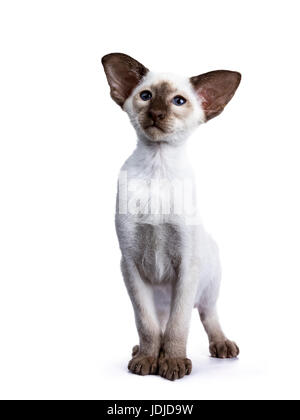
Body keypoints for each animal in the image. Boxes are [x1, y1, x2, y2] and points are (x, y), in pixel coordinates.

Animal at [102, 53, 240, 380]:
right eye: (146, 96)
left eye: (179, 101)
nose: (156, 113)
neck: (158, 163)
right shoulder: (131, 264)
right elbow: (147, 326)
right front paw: (147, 361)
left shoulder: (187, 264)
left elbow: (179, 327)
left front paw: (174, 364)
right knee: (159, 327)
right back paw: (142, 352)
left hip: (207, 285)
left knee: (206, 316)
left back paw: (221, 346)